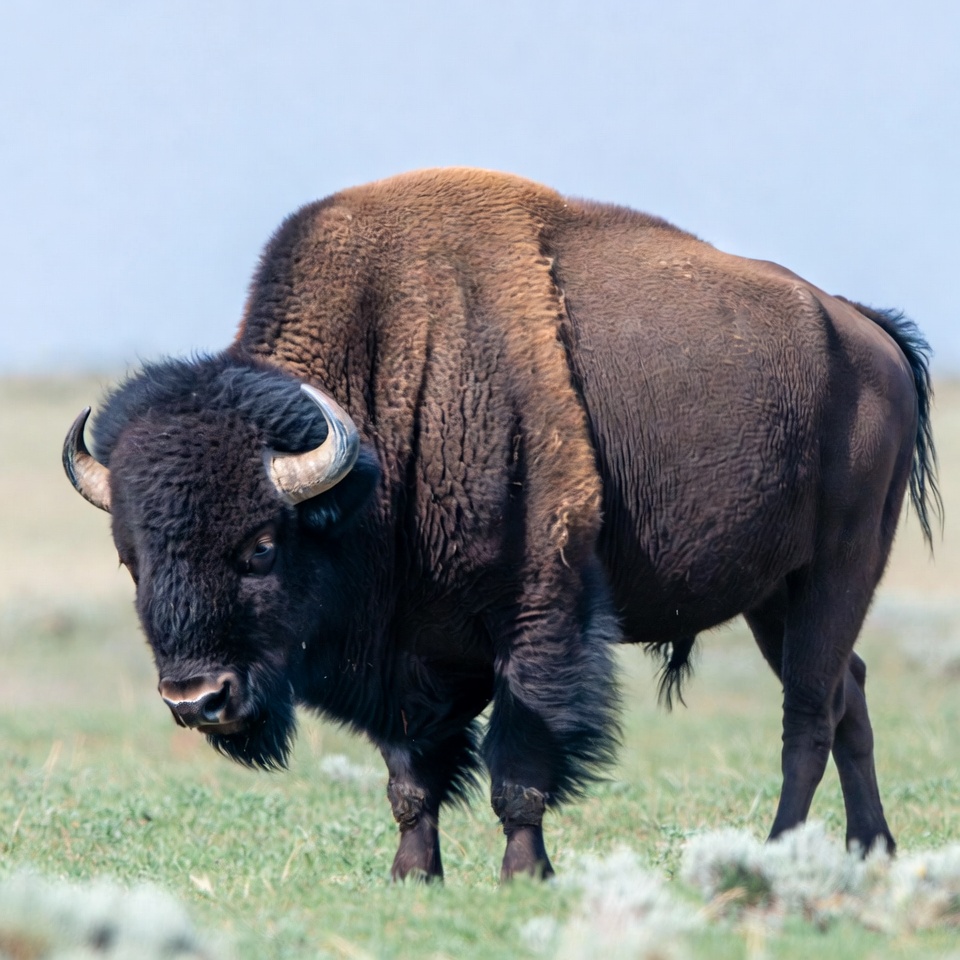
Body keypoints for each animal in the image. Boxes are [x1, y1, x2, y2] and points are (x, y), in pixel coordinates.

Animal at [63, 168, 939, 881]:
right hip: (772, 597)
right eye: (132, 560)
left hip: (839, 568)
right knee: (849, 692)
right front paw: (412, 875)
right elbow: (411, 774)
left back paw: (780, 850)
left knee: (809, 712)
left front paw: (525, 872)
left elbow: (517, 760)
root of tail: (866, 332)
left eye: (261, 546)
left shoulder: (535, 613)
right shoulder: (407, 648)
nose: (195, 698)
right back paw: (872, 850)